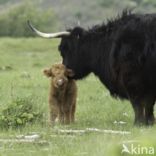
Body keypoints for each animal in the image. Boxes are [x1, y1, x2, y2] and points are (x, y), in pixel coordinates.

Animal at [28, 10, 156, 125]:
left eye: (63, 48)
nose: (67, 74)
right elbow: (148, 104)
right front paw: (149, 123)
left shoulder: (132, 81)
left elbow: (138, 103)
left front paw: (139, 123)